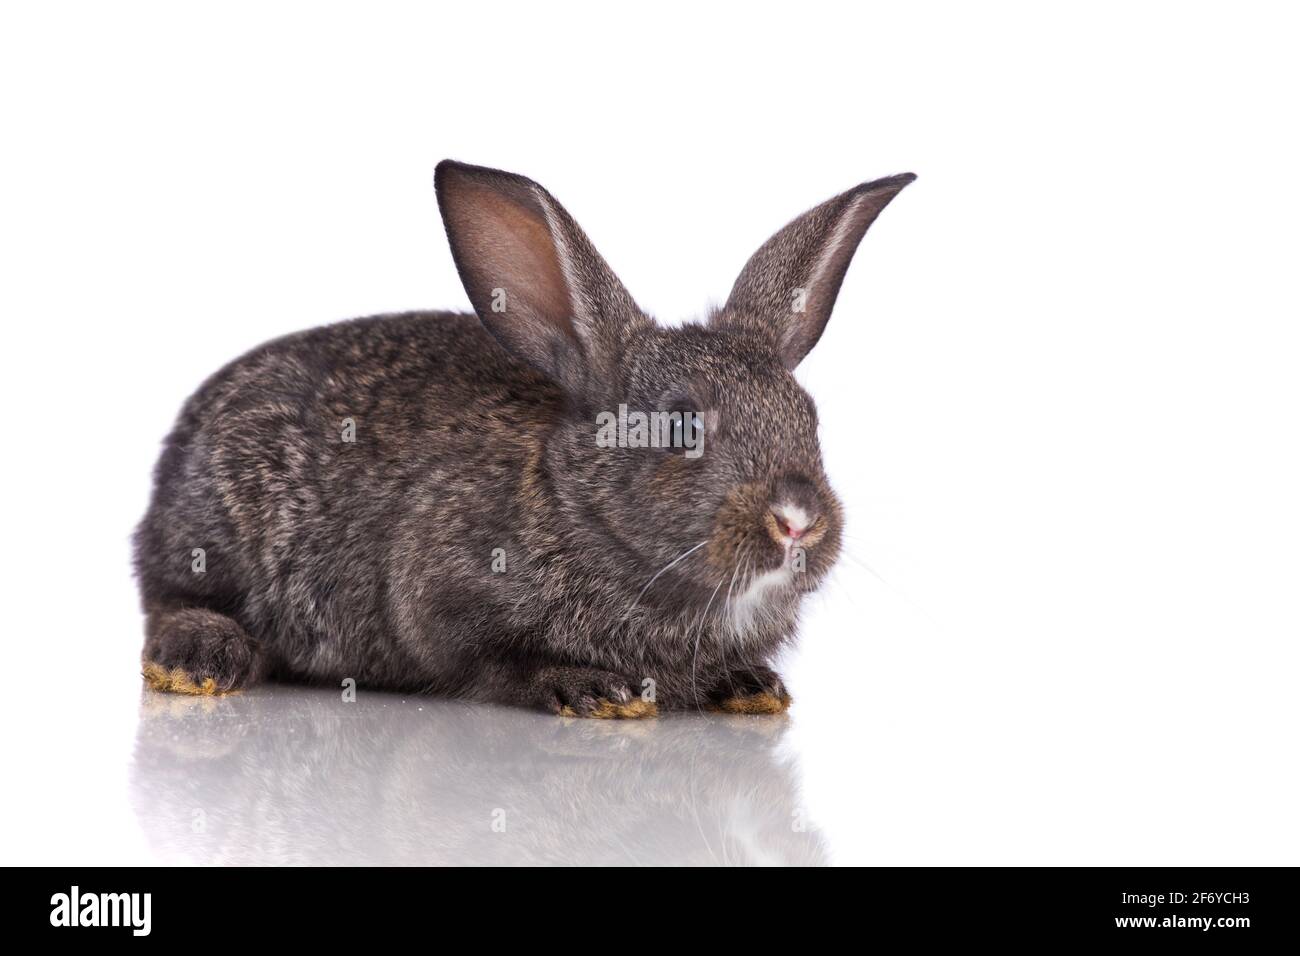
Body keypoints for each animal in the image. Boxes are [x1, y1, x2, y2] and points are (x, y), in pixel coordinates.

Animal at [129, 160, 904, 717]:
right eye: (680, 425)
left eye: (809, 418)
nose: (797, 521)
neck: (573, 501)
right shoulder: (438, 596)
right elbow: (493, 663)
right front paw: (591, 689)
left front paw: (749, 684)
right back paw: (199, 660)